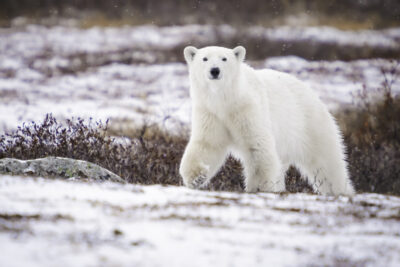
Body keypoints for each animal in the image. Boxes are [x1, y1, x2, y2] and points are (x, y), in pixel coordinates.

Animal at [180, 45, 354, 197]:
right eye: (205, 58)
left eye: (224, 58)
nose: (215, 70)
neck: (226, 100)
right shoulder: (210, 113)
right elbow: (207, 144)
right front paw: (196, 177)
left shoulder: (247, 109)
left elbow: (257, 146)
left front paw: (258, 187)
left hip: (310, 124)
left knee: (327, 162)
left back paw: (341, 191)